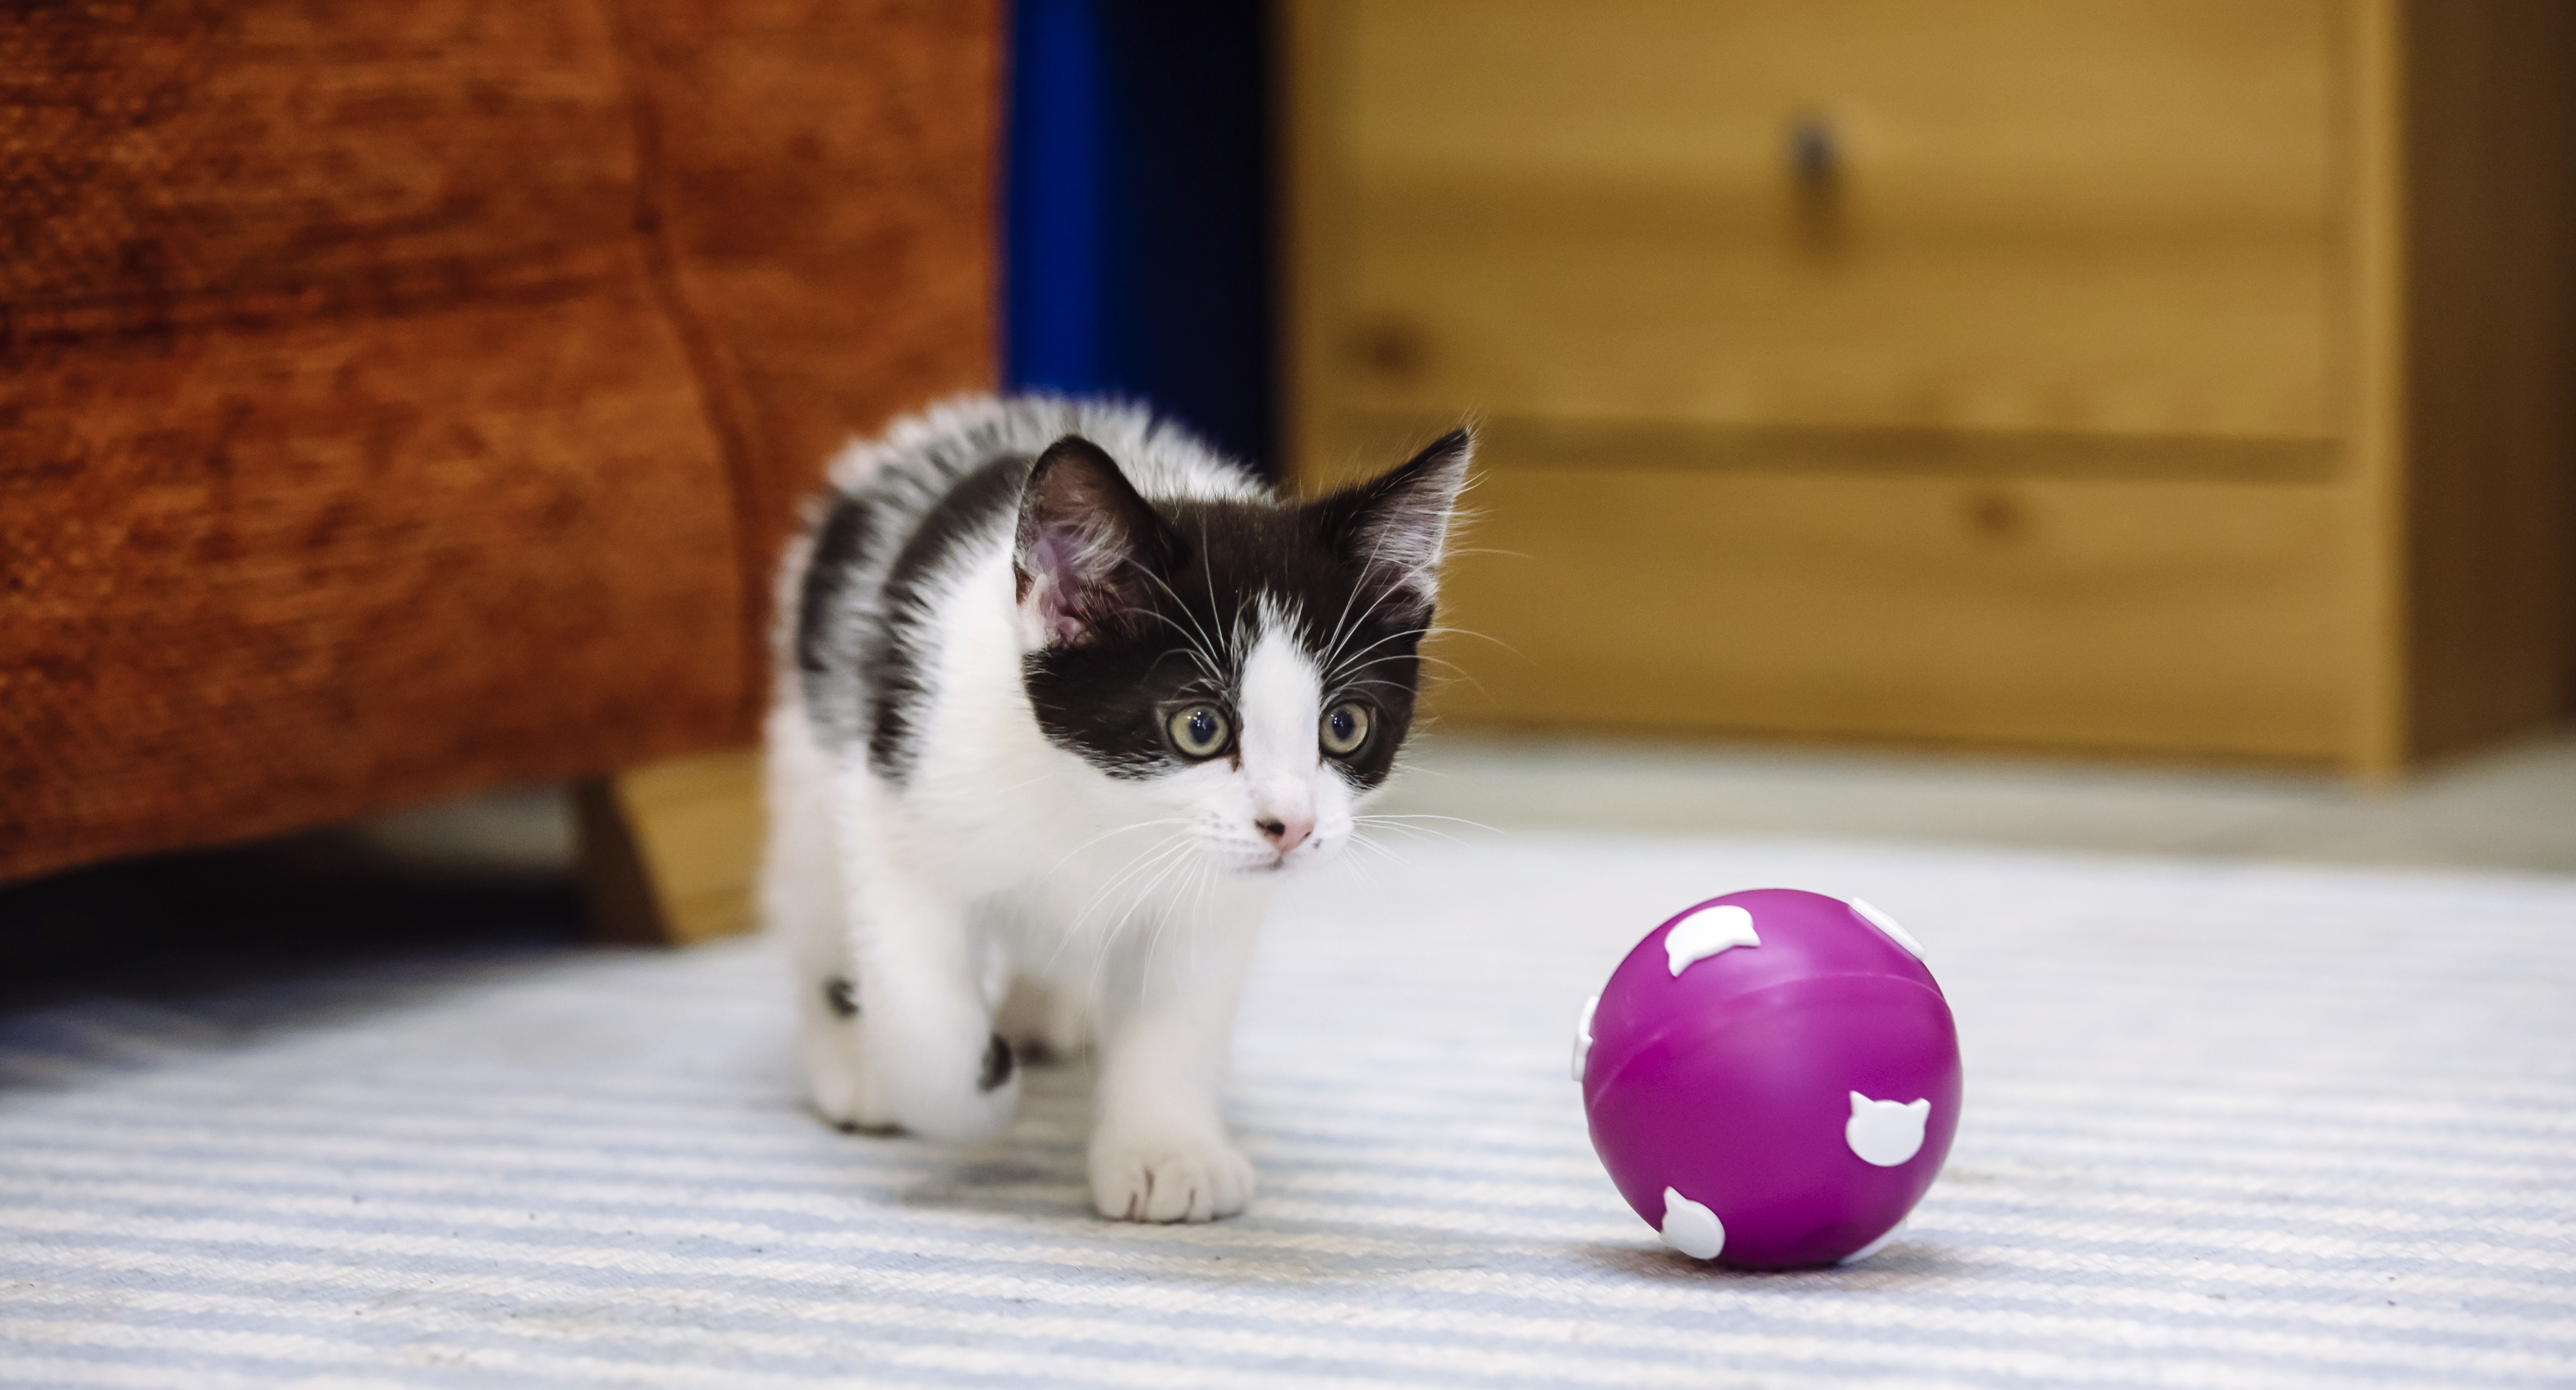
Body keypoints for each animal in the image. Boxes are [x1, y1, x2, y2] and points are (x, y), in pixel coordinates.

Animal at [762, 391, 1473, 1215]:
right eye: (1199, 728)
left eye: (1345, 726)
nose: (1291, 827)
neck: (1101, 809)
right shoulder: (898, 794)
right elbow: (921, 1008)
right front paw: (974, 1092)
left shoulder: (1212, 898)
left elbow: (1178, 1015)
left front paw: (1166, 1153)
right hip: (811, 751)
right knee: (817, 908)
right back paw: (851, 1062)